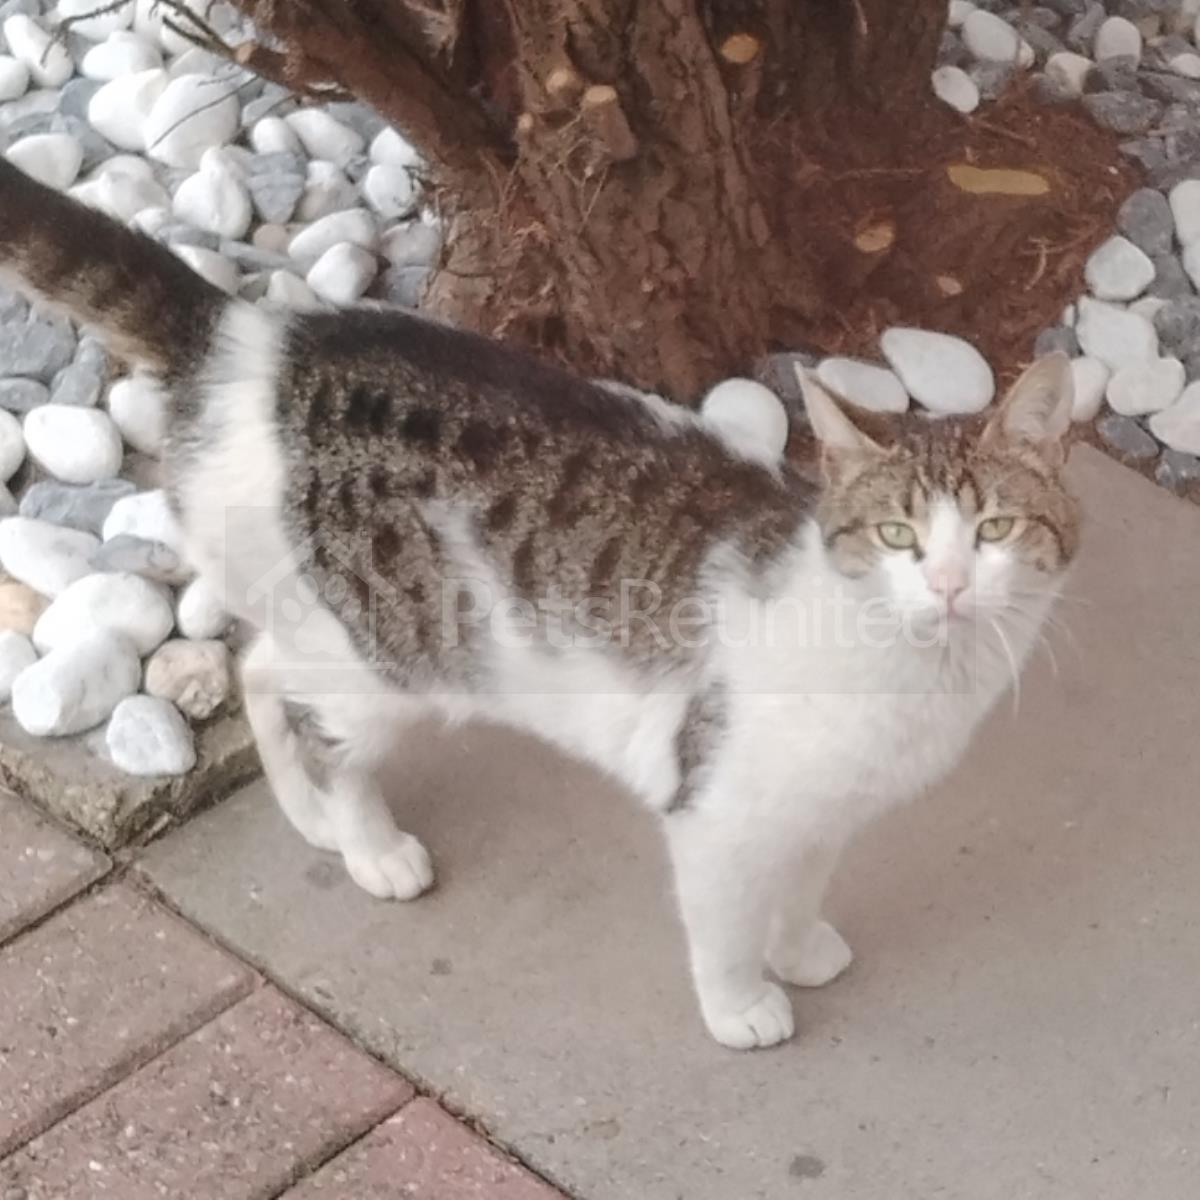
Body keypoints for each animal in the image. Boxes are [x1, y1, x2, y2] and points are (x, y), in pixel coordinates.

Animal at [0, 158, 1079, 1050]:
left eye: (995, 530)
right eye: (899, 537)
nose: (948, 584)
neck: (916, 676)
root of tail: (252, 336)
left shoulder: (824, 810)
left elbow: (802, 883)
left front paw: (801, 945)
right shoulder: (714, 808)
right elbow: (724, 921)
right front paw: (743, 1004)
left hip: (325, 626)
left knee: (261, 667)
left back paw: (309, 818)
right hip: (386, 660)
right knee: (323, 728)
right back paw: (370, 847)